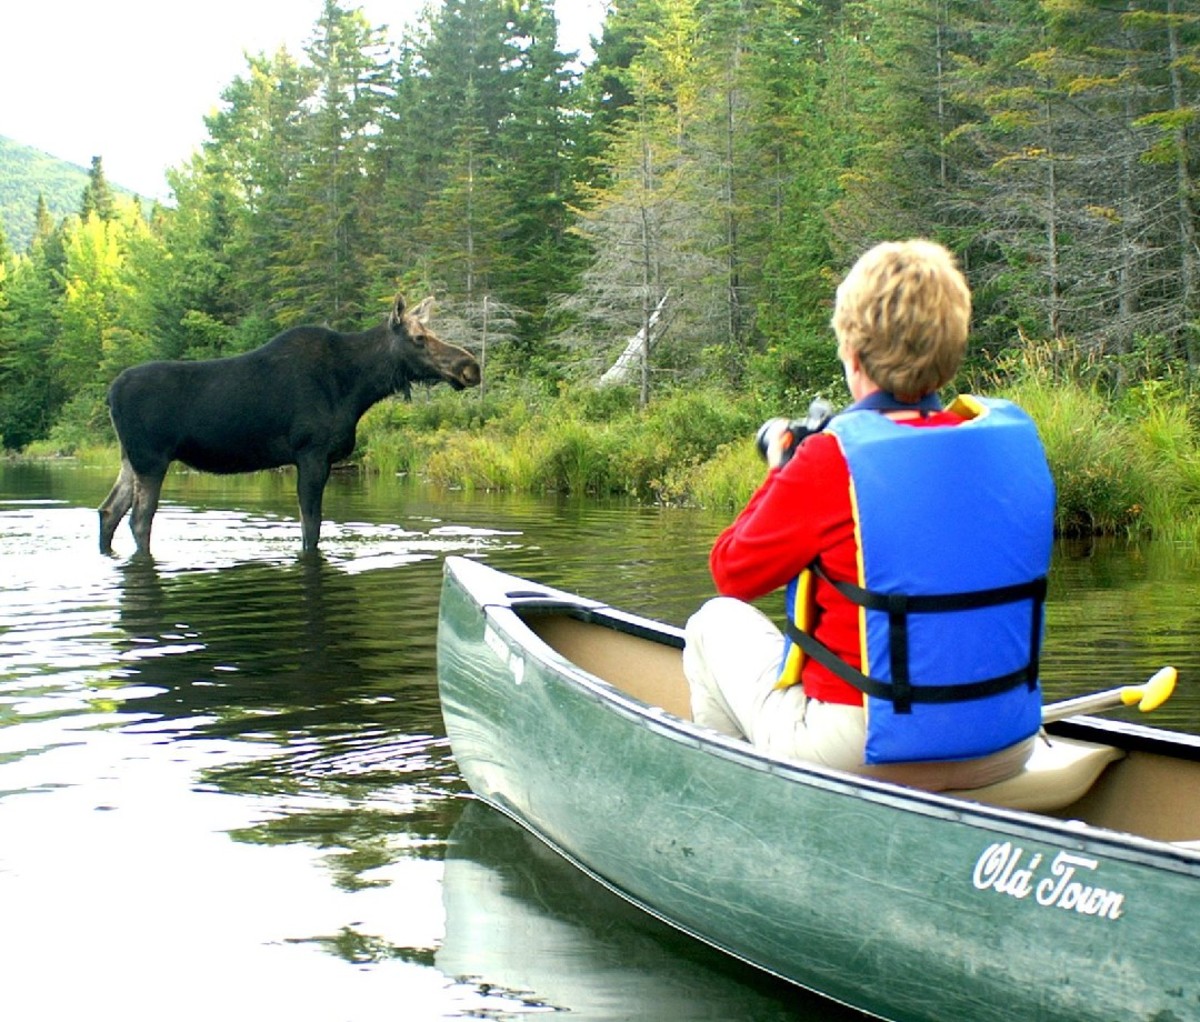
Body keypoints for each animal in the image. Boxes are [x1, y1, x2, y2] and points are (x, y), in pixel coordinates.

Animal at [99, 291, 482, 554]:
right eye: (419, 338)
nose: (471, 367)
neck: (358, 387)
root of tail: (110, 394)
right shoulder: (312, 454)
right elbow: (311, 529)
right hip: (152, 459)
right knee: (139, 520)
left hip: (131, 458)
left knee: (108, 512)